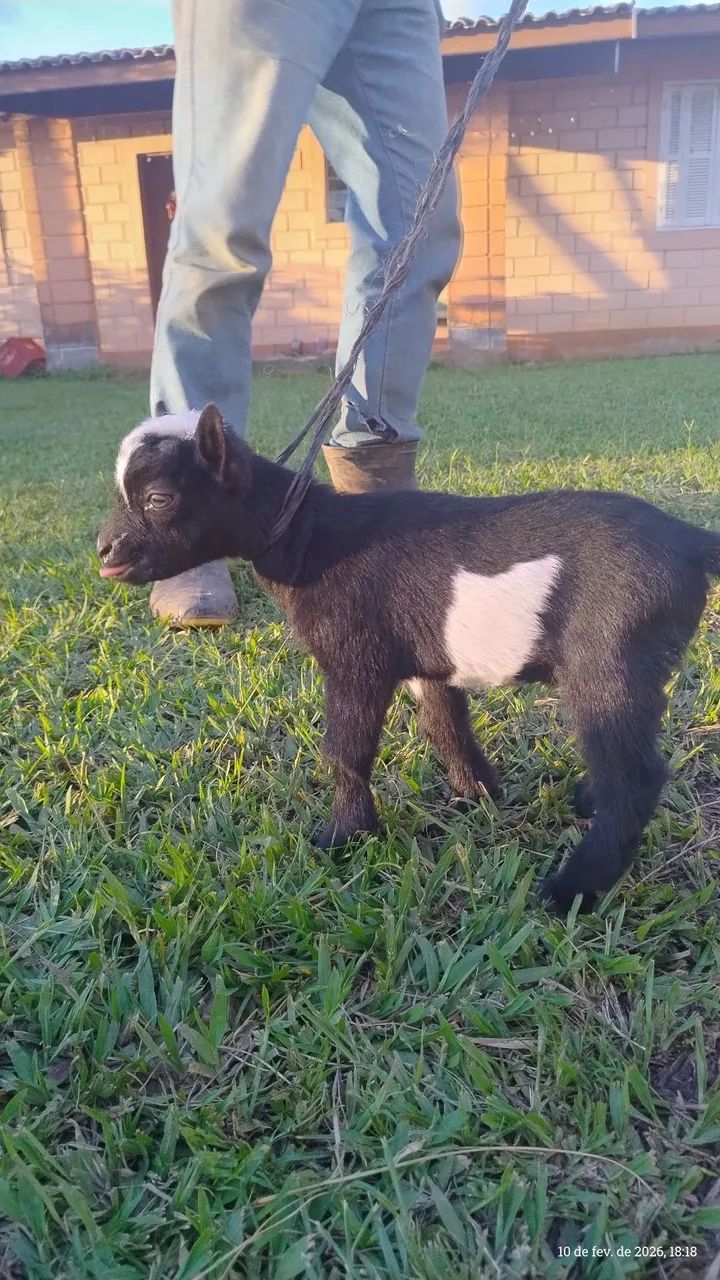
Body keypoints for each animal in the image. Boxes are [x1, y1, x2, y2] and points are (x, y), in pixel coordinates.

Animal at [98, 404, 720, 912]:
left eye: (159, 499)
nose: (105, 550)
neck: (309, 533)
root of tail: (691, 540)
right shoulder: (427, 659)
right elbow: (445, 724)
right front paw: (477, 794)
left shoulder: (356, 662)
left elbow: (346, 750)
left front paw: (345, 837)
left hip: (610, 657)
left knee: (635, 773)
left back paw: (573, 890)